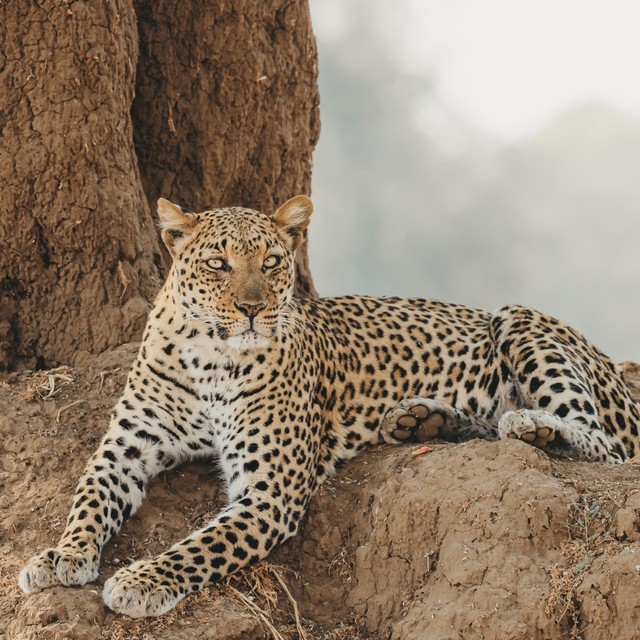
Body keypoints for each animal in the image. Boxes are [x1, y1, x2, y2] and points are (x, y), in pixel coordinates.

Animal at [19, 195, 640, 618]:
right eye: (218, 264)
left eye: (272, 261)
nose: (251, 309)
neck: (210, 355)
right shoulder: (123, 449)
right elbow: (88, 499)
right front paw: (60, 556)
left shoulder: (270, 492)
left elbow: (202, 546)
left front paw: (142, 580)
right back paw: (424, 419)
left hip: (522, 320)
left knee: (606, 446)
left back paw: (532, 426)